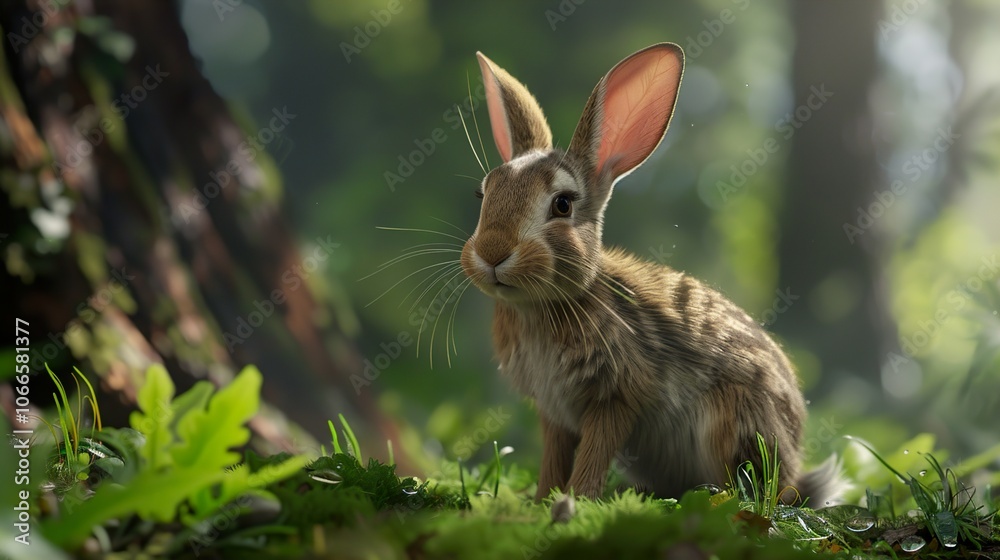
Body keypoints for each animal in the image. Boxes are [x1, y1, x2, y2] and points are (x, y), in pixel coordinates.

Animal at [459, 43, 841, 505]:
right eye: (484, 194)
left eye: (563, 204)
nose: (492, 254)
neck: (543, 305)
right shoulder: (554, 412)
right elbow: (554, 457)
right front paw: (541, 502)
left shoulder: (618, 396)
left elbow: (594, 452)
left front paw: (577, 501)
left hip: (732, 421)